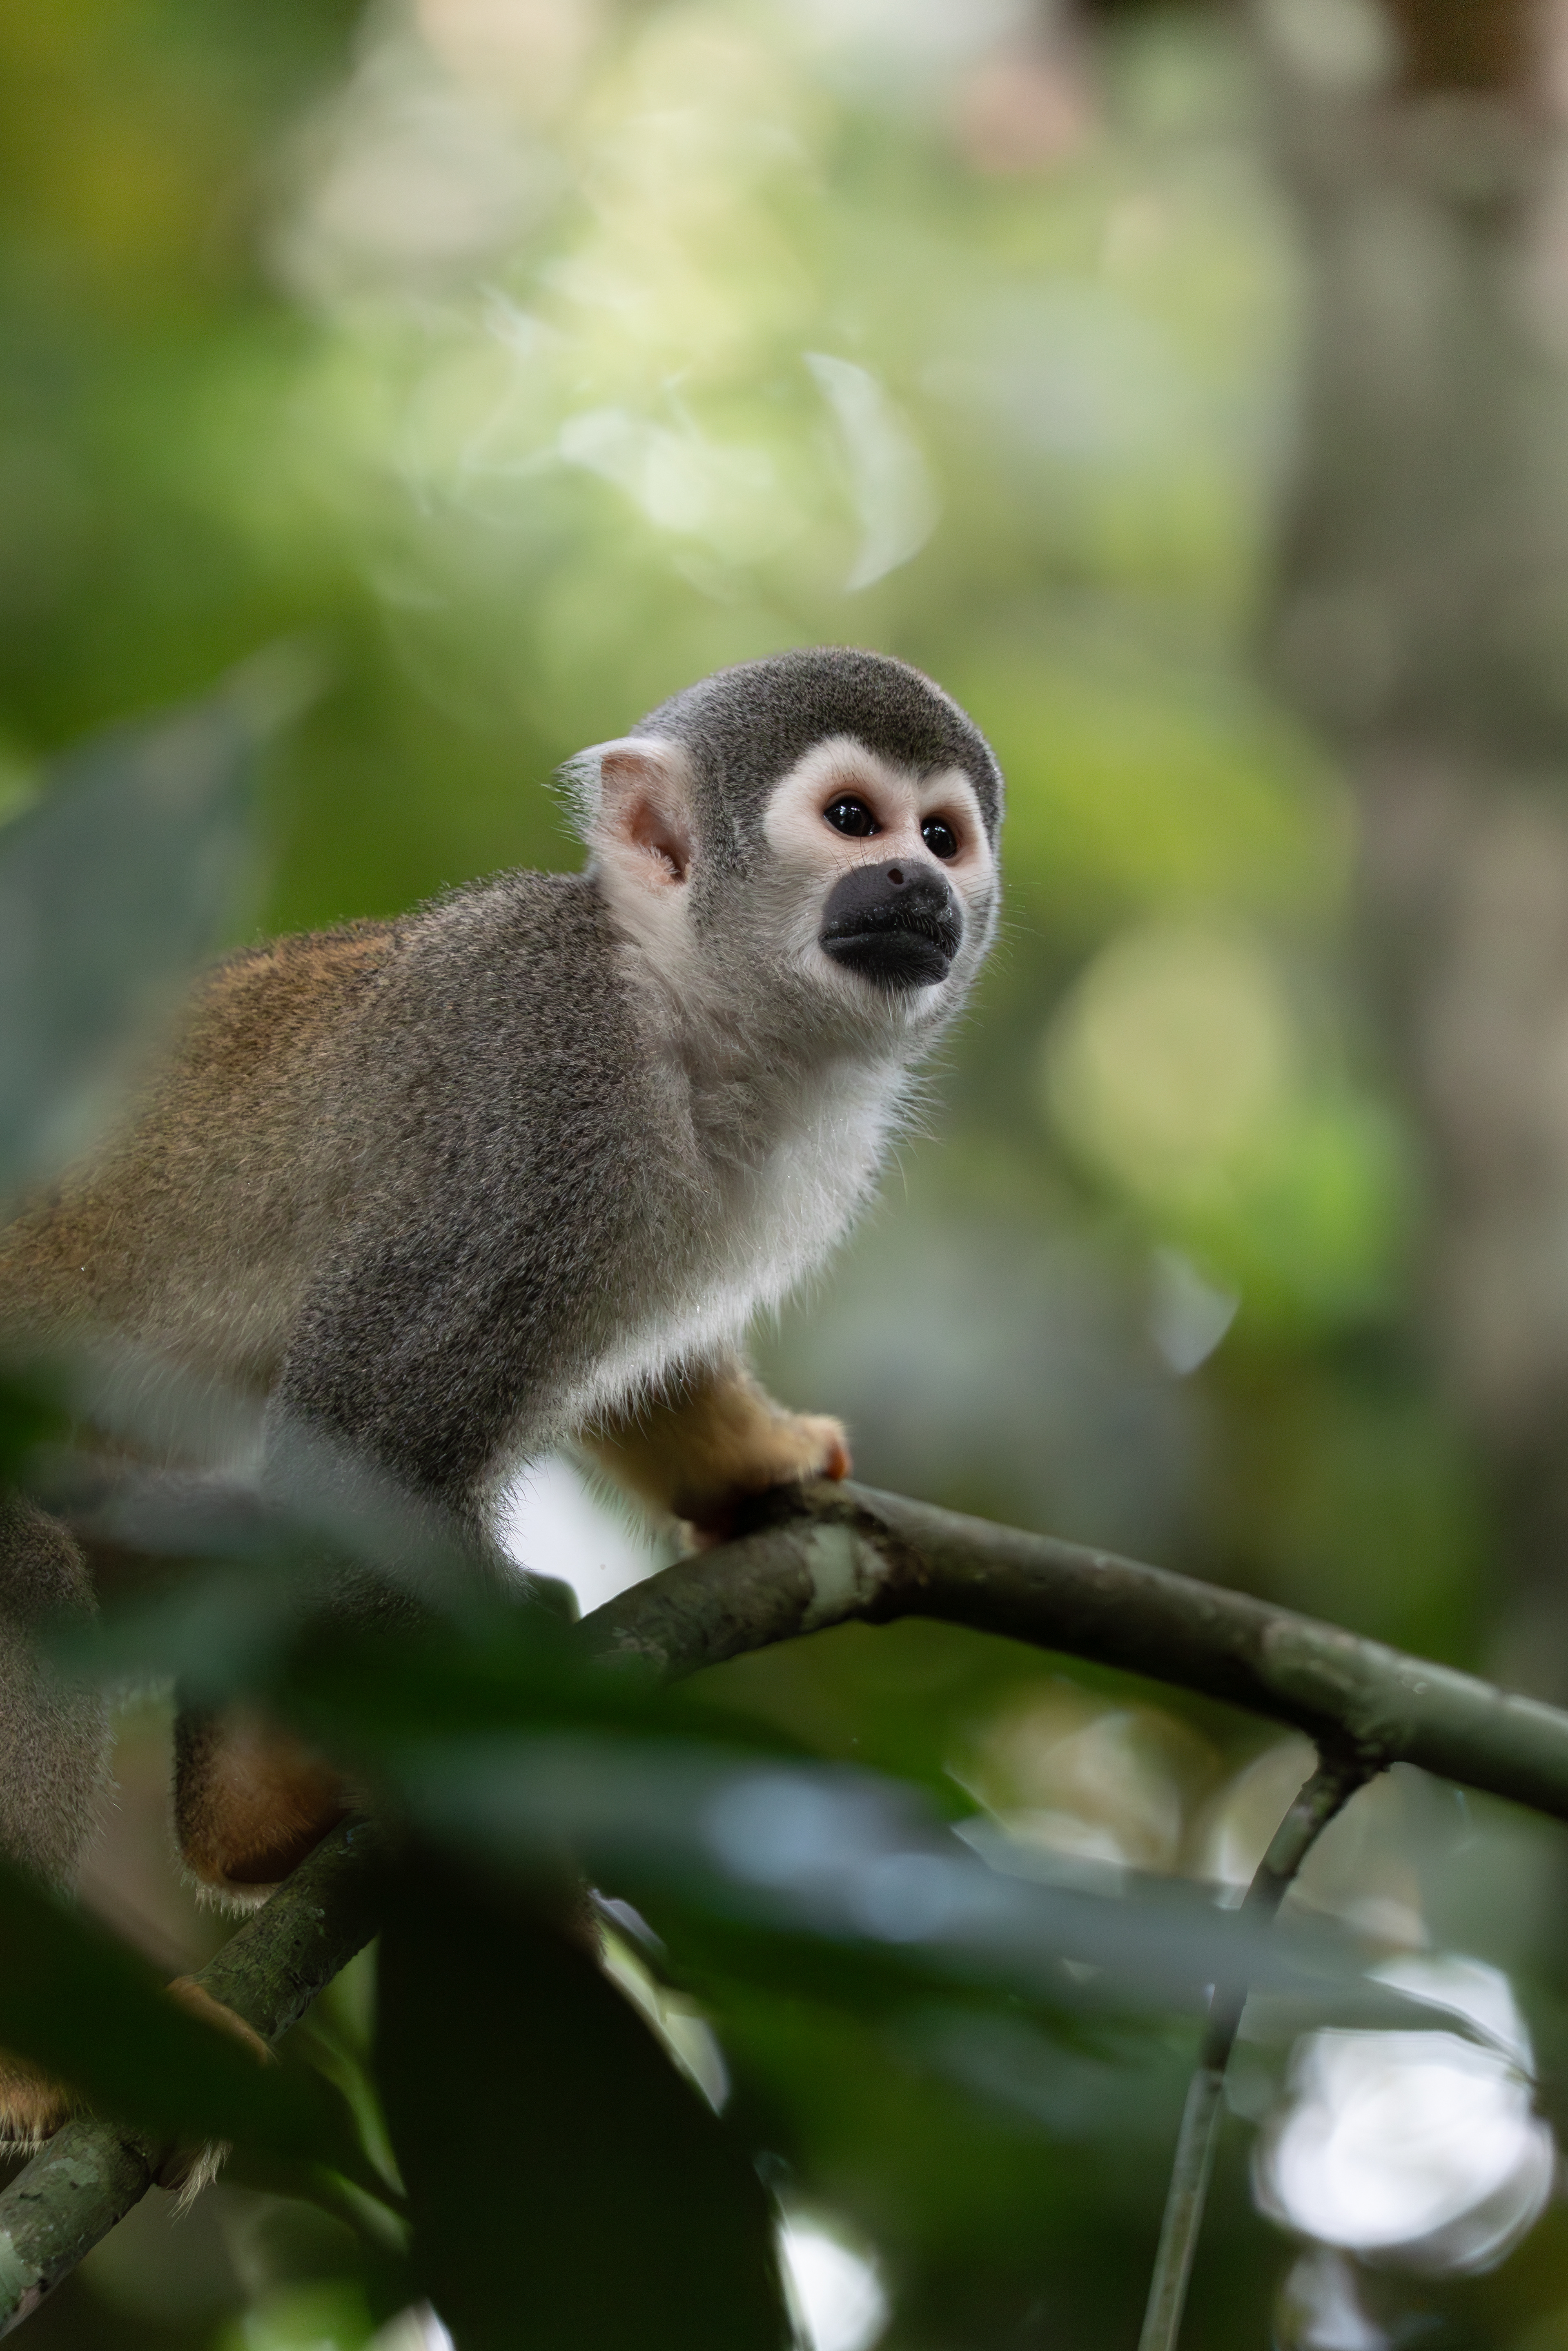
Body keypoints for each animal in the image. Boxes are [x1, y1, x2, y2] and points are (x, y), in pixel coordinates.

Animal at [0, 644, 1002, 2142]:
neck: (678, 1008)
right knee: (39, 1576)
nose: (918, 886)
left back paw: (247, 1816)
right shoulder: (536, 1102)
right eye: (851, 820)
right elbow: (363, 1449)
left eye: (943, 835)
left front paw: (750, 1457)